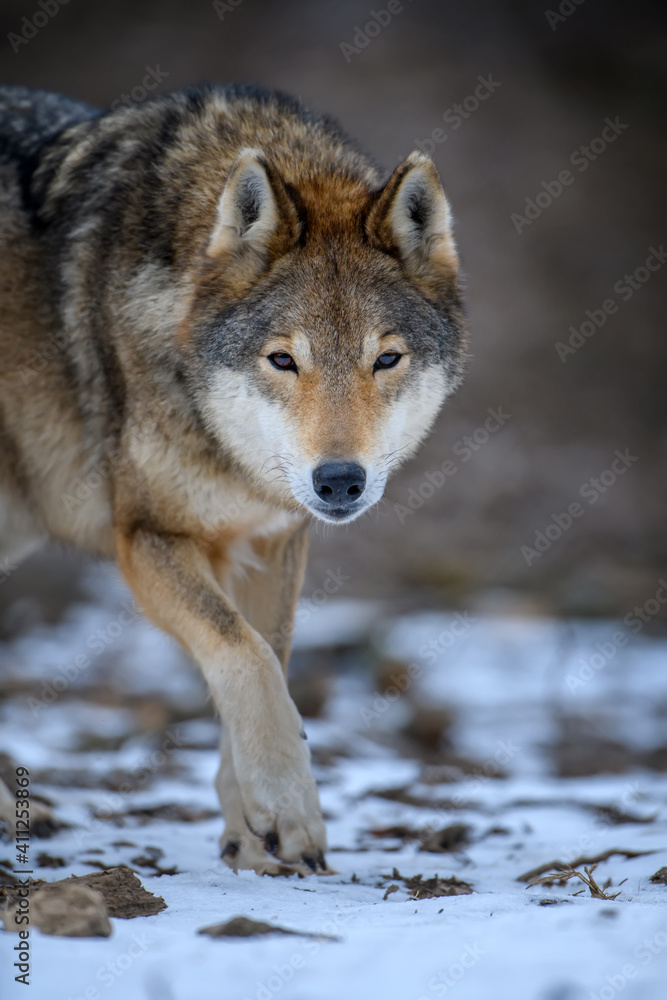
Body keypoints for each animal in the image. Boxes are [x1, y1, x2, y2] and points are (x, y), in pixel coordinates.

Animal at [0, 84, 466, 875]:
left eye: (385, 359)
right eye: (282, 360)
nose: (338, 481)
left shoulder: (273, 541)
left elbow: (263, 660)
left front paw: (252, 835)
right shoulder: (147, 537)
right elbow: (244, 655)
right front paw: (287, 807)